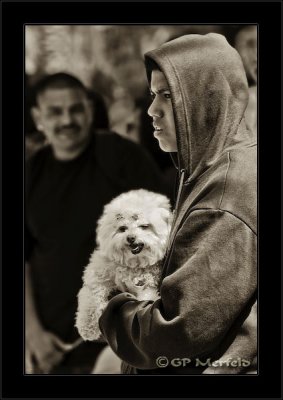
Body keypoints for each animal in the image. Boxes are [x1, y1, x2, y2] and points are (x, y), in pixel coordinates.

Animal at [75, 189, 172, 340]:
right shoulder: (97, 276)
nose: (131, 238)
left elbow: (146, 298)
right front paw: (87, 326)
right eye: (122, 228)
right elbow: (92, 297)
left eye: (144, 226)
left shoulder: (147, 285)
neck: (133, 263)